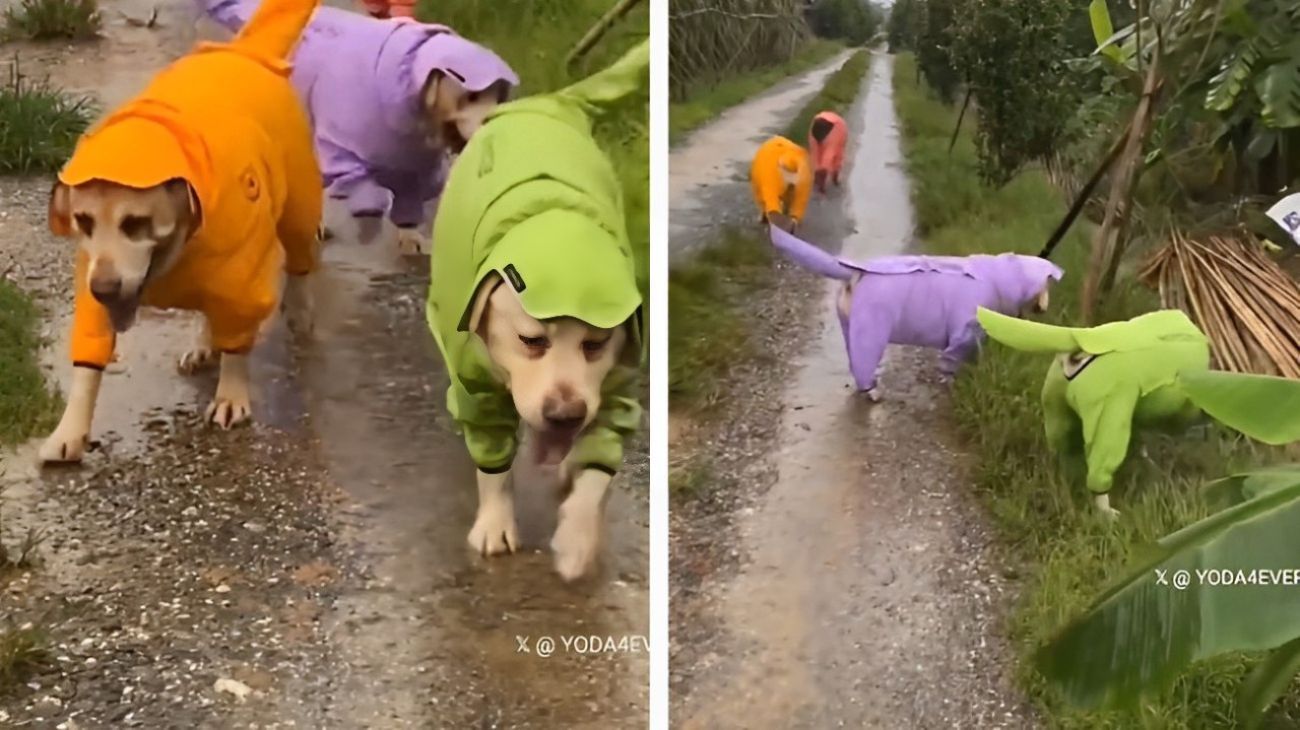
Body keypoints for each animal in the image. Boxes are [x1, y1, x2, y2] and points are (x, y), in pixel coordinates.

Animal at [41, 0, 325, 459]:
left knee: (298, 263)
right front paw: (69, 430)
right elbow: (88, 361)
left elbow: (238, 338)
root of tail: (245, 51)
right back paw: (204, 341)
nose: (105, 288)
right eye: (83, 221)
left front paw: (231, 393)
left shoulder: (241, 281)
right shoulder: (95, 283)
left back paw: (297, 309)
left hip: (298, 210)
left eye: (135, 223)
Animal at [195, 0, 514, 253]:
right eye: (470, 95)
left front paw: (410, 237)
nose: (496, 120)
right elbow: (361, 187)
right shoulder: (341, 148)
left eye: (498, 94)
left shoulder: (418, 169)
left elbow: (410, 200)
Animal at [426, 44, 650, 579]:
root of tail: (543, 102)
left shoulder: (617, 389)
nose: (565, 414)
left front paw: (576, 538)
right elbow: (493, 467)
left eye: (595, 344)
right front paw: (495, 522)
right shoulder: (477, 385)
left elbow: (595, 473)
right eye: (531, 340)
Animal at [764, 226, 1060, 400]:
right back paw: (872, 392)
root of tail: (853, 273)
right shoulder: (962, 335)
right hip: (871, 330)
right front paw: (951, 382)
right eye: (1047, 286)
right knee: (863, 366)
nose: (1044, 308)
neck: (996, 278)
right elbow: (951, 361)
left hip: (849, 326)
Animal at [977, 306, 1211, 516]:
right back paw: (1107, 512)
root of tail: (1081, 340)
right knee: (1099, 473)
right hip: (1109, 417)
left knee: (1064, 452)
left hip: (1059, 415)